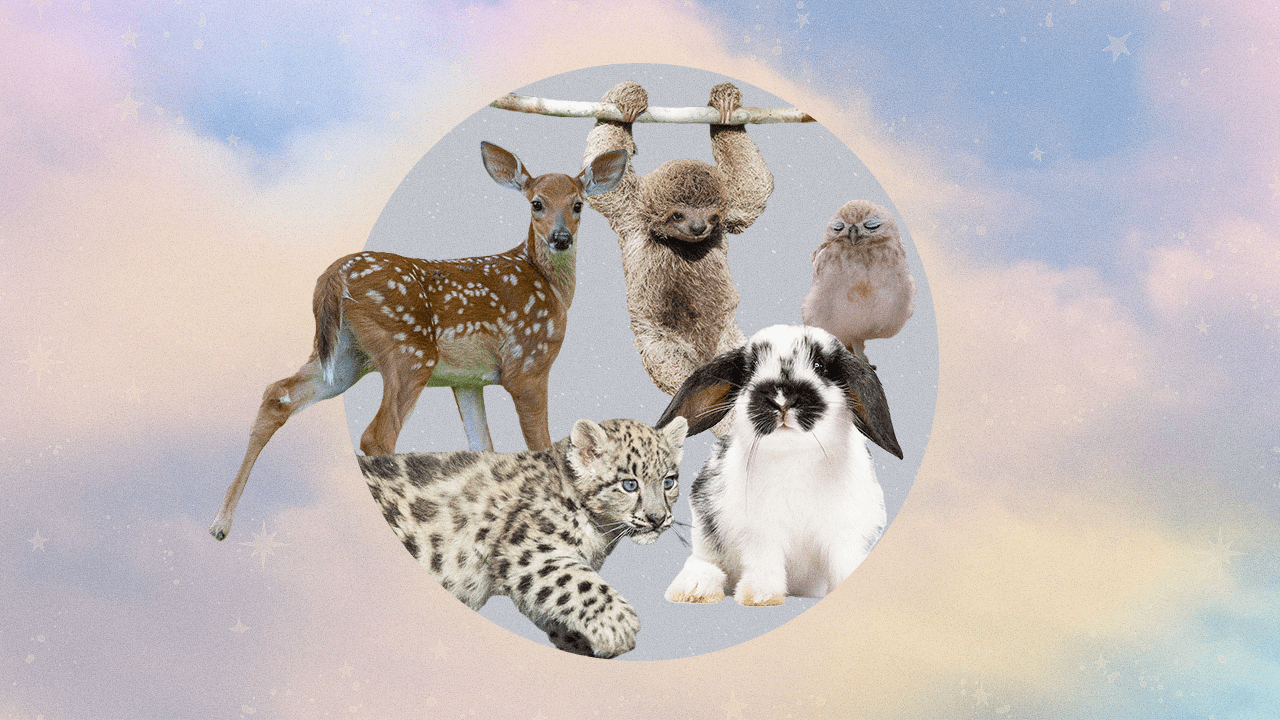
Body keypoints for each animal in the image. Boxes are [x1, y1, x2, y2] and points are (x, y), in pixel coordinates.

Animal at [209, 141, 629, 541]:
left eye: (578, 204)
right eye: (536, 203)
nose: (561, 238)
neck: (550, 288)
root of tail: (333, 275)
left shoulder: (467, 380)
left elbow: (483, 448)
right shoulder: (528, 365)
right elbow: (540, 447)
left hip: (343, 357)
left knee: (277, 394)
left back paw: (220, 524)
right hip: (409, 349)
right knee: (377, 435)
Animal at [655, 324, 903, 606]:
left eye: (819, 365)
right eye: (750, 368)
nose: (781, 398)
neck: (794, 456)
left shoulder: (846, 532)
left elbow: (845, 562)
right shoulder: (759, 532)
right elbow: (764, 561)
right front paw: (761, 596)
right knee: (703, 562)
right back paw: (694, 589)